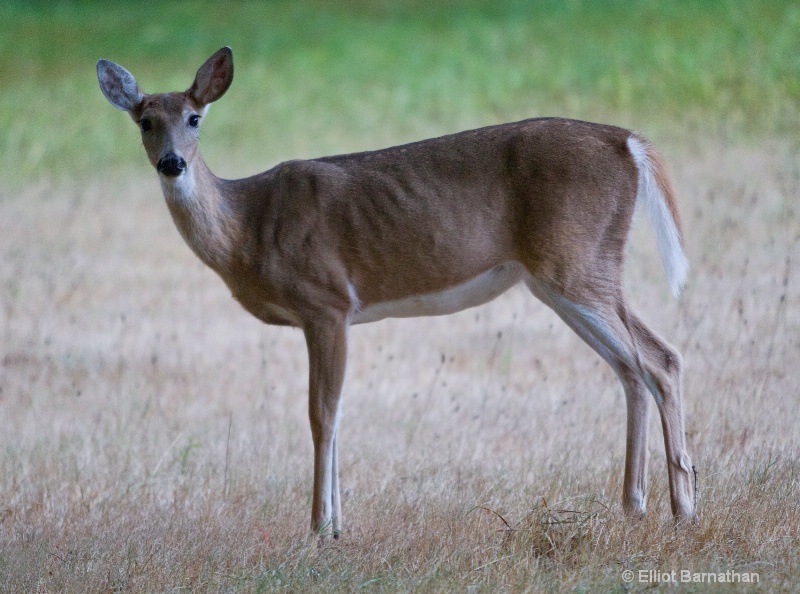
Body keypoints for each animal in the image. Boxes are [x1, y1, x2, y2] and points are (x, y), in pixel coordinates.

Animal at [97, 47, 696, 536]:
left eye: (195, 118)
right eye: (145, 121)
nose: (172, 162)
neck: (248, 227)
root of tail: (628, 142)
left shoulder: (327, 301)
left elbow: (322, 414)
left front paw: (319, 527)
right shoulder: (330, 314)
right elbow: (335, 413)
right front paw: (337, 525)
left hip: (575, 261)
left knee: (660, 358)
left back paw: (684, 509)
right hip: (566, 273)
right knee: (631, 367)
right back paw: (634, 505)